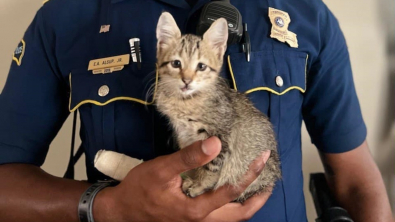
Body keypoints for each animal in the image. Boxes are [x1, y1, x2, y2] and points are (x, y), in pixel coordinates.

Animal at [155, 12, 282, 203]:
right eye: (176, 63)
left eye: (201, 66)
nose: (186, 80)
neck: (186, 101)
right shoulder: (184, 136)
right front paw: (191, 178)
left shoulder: (222, 135)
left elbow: (212, 166)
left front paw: (199, 185)